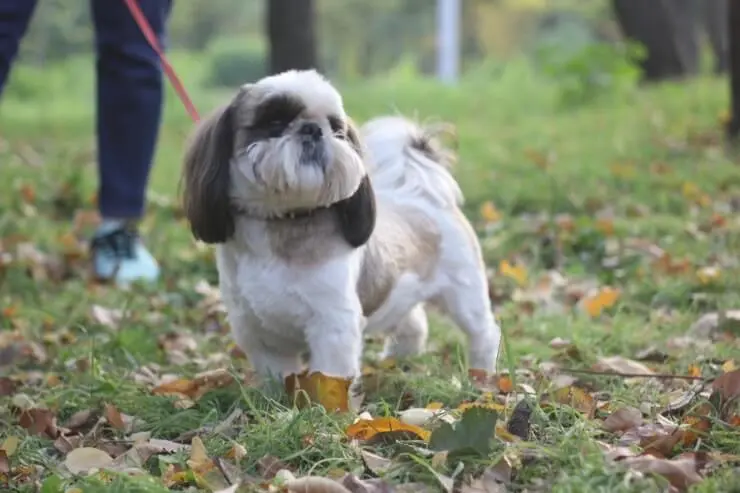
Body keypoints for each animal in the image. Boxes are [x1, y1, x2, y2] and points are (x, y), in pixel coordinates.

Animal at [181, 69, 500, 384]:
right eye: (274, 121)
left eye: (336, 128)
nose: (313, 129)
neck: (285, 219)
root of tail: (423, 195)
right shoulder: (258, 332)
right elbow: (279, 375)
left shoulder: (333, 324)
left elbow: (329, 377)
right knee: (414, 323)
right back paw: (398, 359)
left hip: (464, 292)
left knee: (483, 332)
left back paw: (481, 375)